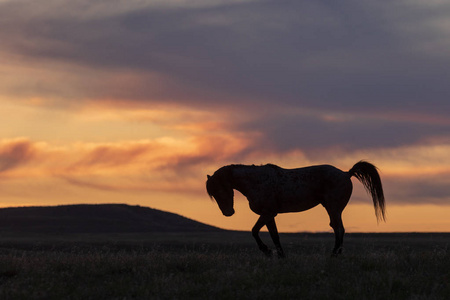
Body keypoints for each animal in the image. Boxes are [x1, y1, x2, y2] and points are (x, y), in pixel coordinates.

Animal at [206, 161, 384, 256]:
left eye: (220, 190)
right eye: (213, 194)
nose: (228, 212)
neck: (256, 181)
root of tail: (347, 173)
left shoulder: (267, 213)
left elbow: (254, 231)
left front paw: (267, 251)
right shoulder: (269, 215)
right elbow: (275, 236)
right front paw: (280, 256)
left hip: (334, 208)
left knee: (339, 229)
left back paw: (334, 255)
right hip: (332, 208)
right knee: (337, 228)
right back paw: (337, 254)